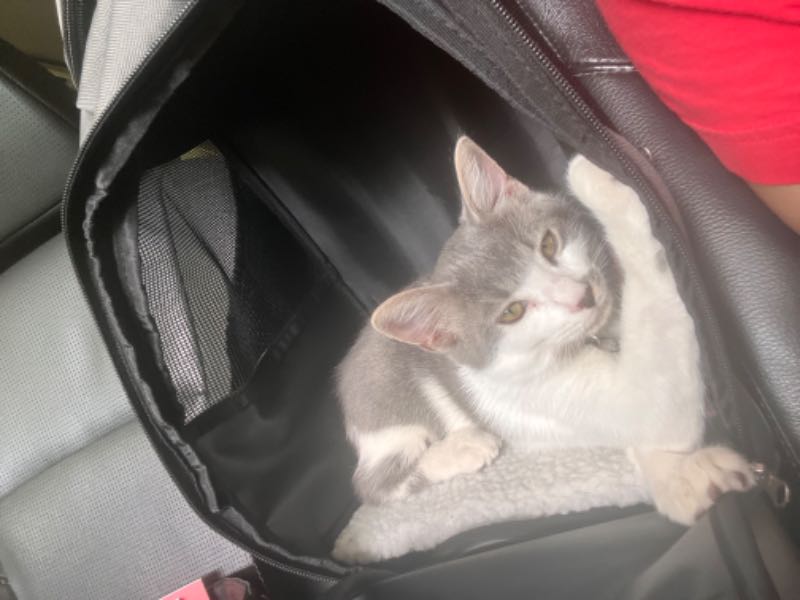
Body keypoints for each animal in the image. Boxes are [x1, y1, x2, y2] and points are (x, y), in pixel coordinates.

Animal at [336, 136, 754, 525]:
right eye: (512, 311)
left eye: (549, 244)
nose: (582, 295)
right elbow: (654, 331)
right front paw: (592, 173)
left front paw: (679, 474)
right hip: (388, 412)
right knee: (371, 482)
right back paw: (465, 447)